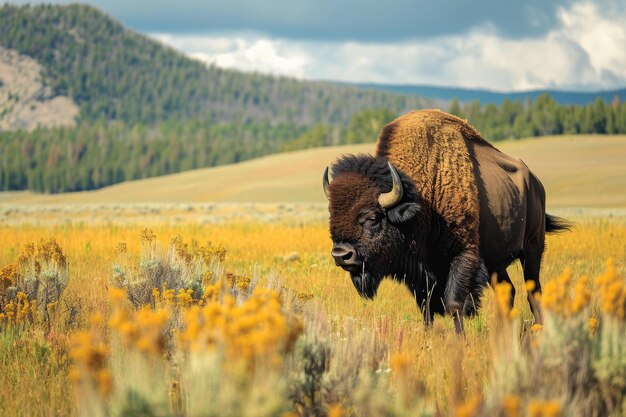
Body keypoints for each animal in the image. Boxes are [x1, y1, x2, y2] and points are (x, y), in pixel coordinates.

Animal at [324, 109, 568, 332]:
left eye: (372, 218)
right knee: (508, 291)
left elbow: (454, 304)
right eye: (332, 215)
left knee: (533, 290)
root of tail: (535, 182)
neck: (423, 195)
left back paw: (538, 329)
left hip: (532, 249)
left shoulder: (463, 257)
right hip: (497, 262)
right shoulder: (421, 271)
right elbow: (426, 307)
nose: (341, 255)